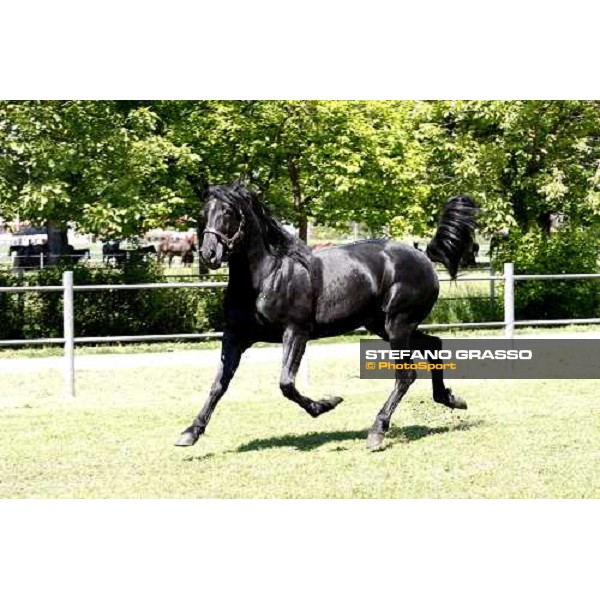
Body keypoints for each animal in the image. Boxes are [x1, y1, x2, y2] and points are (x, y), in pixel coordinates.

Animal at [175, 183, 478, 450]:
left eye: (228, 211)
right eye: (204, 212)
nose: (209, 253)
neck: (266, 277)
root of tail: (423, 256)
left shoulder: (296, 332)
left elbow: (286, 384)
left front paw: (327, 404)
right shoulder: (236, 336)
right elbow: (219, 385)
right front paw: (190, 432)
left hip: (398, 325)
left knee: (406, 376)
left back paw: (377, 431)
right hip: (383, 325)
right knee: (434, 344)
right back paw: (451, 399)